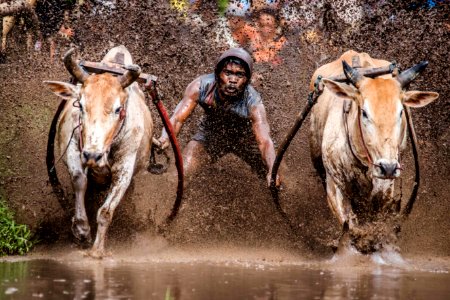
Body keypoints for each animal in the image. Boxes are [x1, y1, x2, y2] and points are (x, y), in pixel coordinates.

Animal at [44, 44, 153, 258]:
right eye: (80, 105)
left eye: (118, 109)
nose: (93, 155)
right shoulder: (74, 151)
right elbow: (79, 181)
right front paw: (82, 229)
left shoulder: (124, 170)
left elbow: (105, 212)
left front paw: (97, 251)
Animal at [308, 49, 438, 255]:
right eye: (364, 112)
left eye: (401, 112)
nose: (388, 167)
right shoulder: (334, 185)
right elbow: (350, 225)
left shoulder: (385, 186)